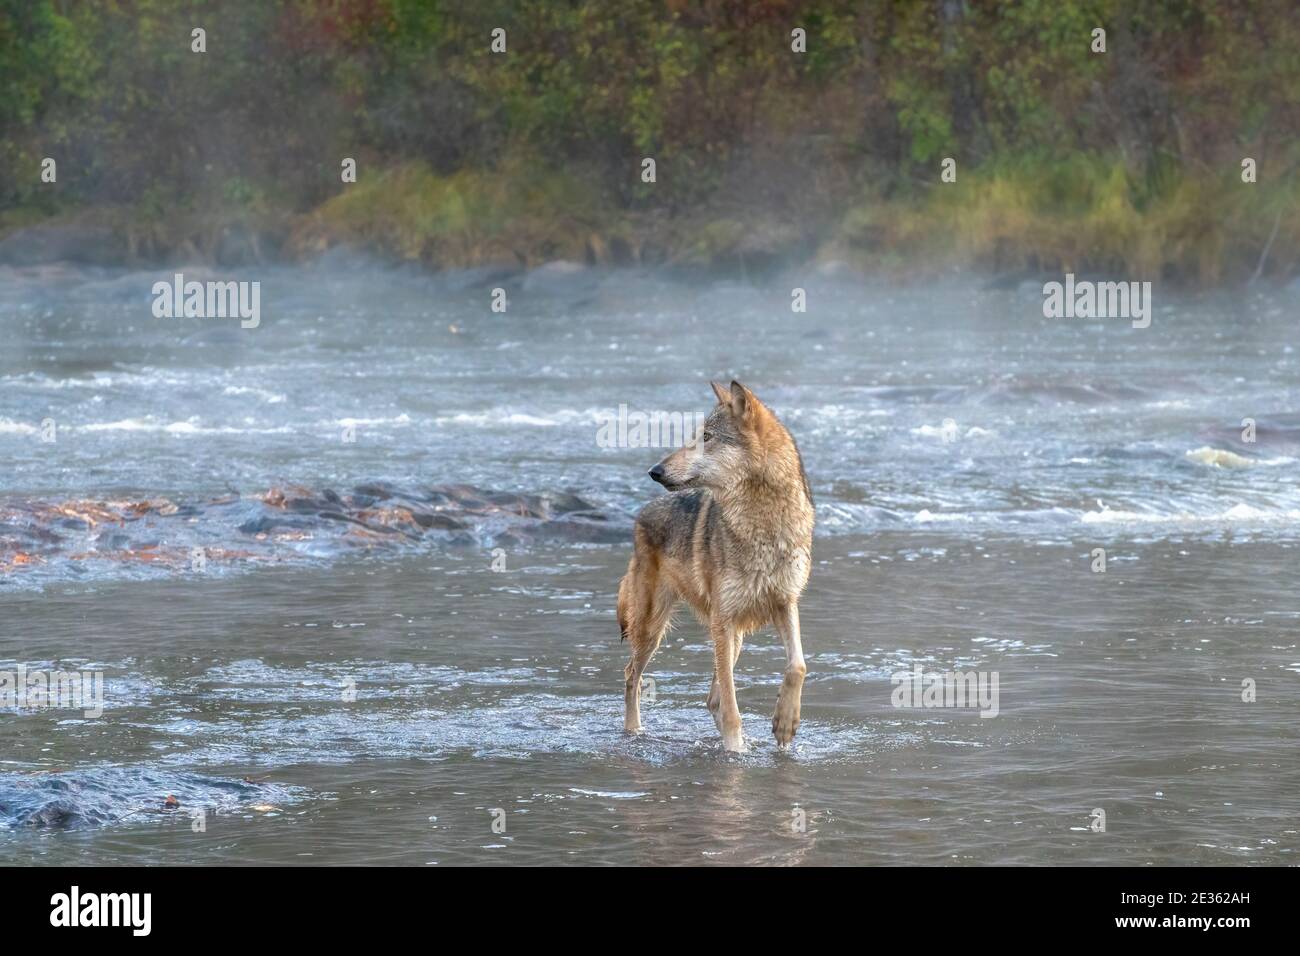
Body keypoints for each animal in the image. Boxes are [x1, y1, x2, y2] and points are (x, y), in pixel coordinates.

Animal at [617, 381, 814, 752]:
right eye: (695, 436)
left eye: (707, 436)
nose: (655, 471)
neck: (762, 527)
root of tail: (641, 514)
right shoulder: (723, 620)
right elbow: (732, 703)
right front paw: (735, 750)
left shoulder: (785, 602)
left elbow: (798, 665)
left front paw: (785, 723)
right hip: (654, 628)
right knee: (631, 675)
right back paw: (634, 731)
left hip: (731, 635)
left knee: (711, 697)